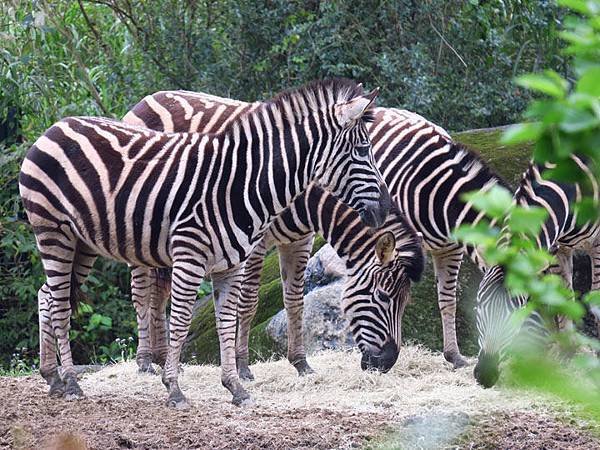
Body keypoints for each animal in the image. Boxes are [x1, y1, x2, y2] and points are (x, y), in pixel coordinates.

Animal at [18, 79, 390, 410]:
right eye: (363, 151)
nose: (385, 208)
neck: (243, 184)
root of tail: (55, 126)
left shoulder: (231, 263)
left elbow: (226, 320)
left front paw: (236, 387)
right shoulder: (190, 256)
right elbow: (182, 319)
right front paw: (174, 389)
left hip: (83, 243)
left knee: (48, 295)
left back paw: (53, 378)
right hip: (53, 232)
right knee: (61, 304)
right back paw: (72, 382)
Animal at [124, 90, 508, 370]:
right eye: (381, 298)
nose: (386, 363)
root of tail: (151, 97)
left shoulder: (302, 238)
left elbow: (447, 298)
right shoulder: (256, 240)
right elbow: (247, 301)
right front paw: (244, 366)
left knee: (159, 291)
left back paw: (161, 359)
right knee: (141, 290)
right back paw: (145, 363)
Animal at [474, 157, 600, 386]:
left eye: (517, 314)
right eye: (478, 308)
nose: (484, 376)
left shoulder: (597, 243)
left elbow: (596, 303)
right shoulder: (558, 246)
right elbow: (563, 298)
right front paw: (566, 352)